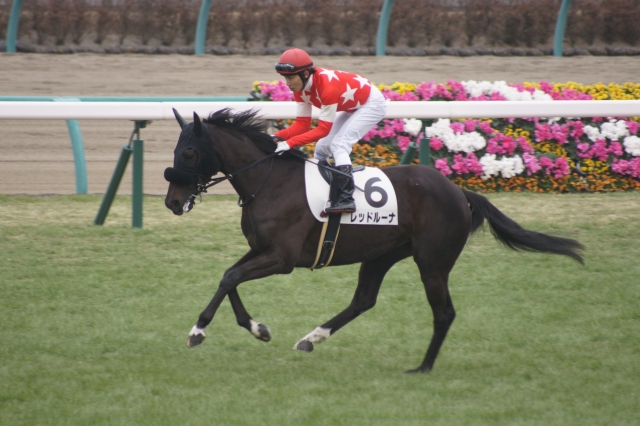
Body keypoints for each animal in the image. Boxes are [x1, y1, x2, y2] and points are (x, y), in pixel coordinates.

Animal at [164, 108, 584, 373]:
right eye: (176, 150)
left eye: (190, 152)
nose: (172, 201)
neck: (271, 181)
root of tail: (457, 190)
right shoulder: (260, 249)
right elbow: (228, 276)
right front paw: (257, 328)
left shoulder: (282, 258)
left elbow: (230, 278)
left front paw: (198, 331)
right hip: (381, 255)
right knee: (364, 300)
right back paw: (312, 338)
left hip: (432, 262)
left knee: (443, 312)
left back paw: (423, 367)